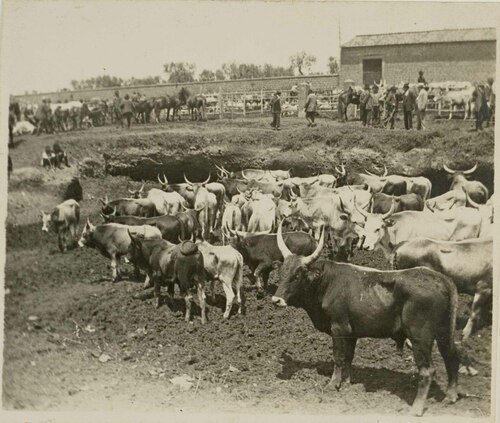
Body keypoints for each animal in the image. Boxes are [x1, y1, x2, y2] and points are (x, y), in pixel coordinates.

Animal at [272, 222, 458, 418]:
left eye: (297, 275)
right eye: (282, 272)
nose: (276, 300)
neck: (326, 282)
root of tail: (442, 279)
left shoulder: (339, 328)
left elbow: (338, 357)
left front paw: (333, 384)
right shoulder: (351, 333)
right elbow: (348, 357)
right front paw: (346, 383)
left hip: (420, 337)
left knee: (427, 370)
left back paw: (416, 408)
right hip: (444, 332)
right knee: (452, 357)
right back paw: (450, 396)